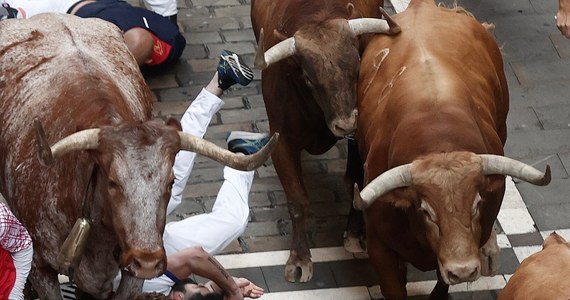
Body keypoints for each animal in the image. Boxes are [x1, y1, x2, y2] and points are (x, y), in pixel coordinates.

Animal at [251, 0, 398, 282]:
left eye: (357, 66)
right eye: (309, 78)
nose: (346, 124)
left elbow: (354, 182)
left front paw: (356, 235)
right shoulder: (281, 142)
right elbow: (297, 199)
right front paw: (299, 258)